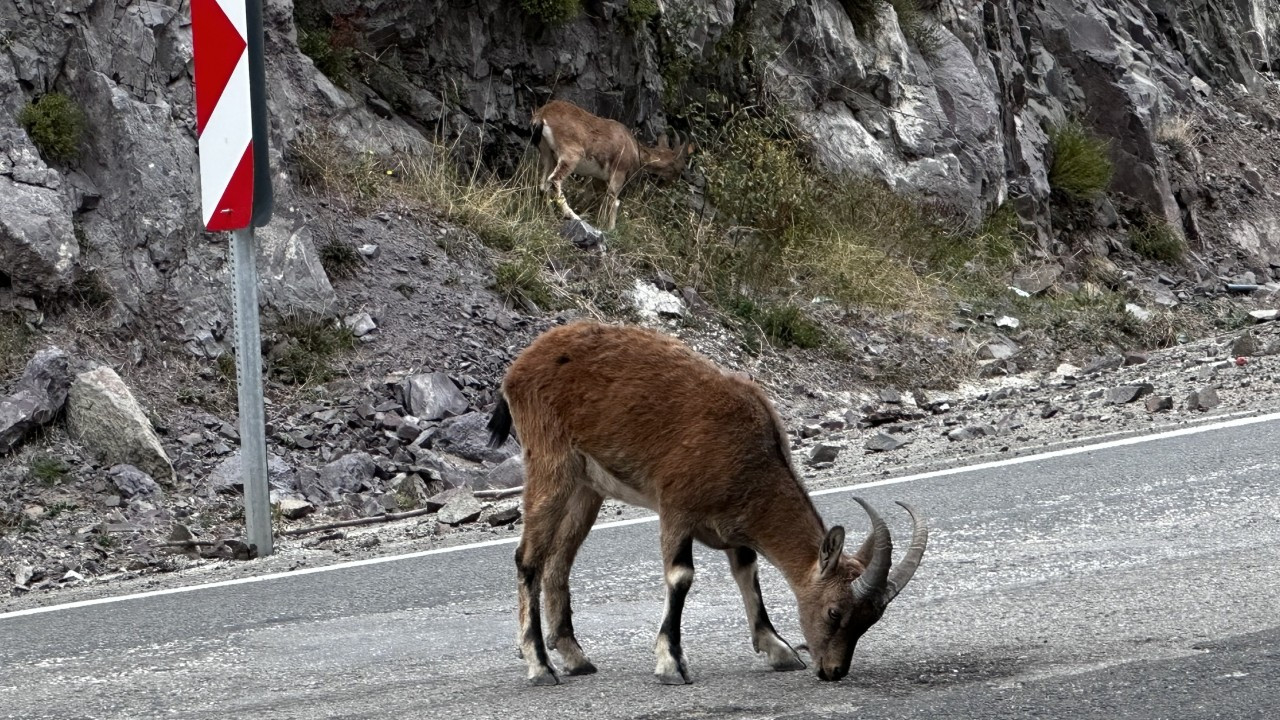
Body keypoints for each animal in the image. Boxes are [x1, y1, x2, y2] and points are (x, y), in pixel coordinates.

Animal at [483, 320, 926, 681]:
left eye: (870, 619)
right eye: (835, 611)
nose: (833, 671)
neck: (747, 455)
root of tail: (519, 367)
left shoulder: (734, 525)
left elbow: (748, 572)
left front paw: (778, 649)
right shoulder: (676, 508)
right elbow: (681, 577)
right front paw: (671, 663)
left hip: (588, 488)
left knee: (558, 562)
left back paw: (576, 658)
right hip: (550, 461)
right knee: (528, 558)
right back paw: (540, 666)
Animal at [527, 98, 691, 229]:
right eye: (681, 168)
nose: (671, 184)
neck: (632, 147)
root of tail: (541, 116)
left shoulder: (598, 178)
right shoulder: (618, 172)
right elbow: (614, 200)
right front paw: (611, 228)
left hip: (548, 155)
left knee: (544, 185)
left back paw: (551, 216)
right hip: (571, 155)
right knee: (554, 180)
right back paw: (573, 216)